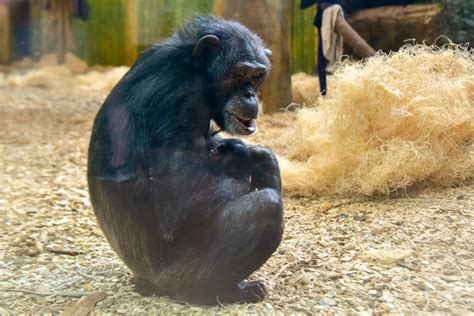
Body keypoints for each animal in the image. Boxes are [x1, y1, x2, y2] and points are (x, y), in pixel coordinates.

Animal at [87, 16, 284, 304]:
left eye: (256, 76)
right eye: (238, 74)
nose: (249, 94)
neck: (195, 71)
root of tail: (145, 280)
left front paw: (253, 155)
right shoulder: (178, 101)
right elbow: (182, 201)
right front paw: (244, 159)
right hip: (176, 274)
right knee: (266, 206)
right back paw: (224, 290)